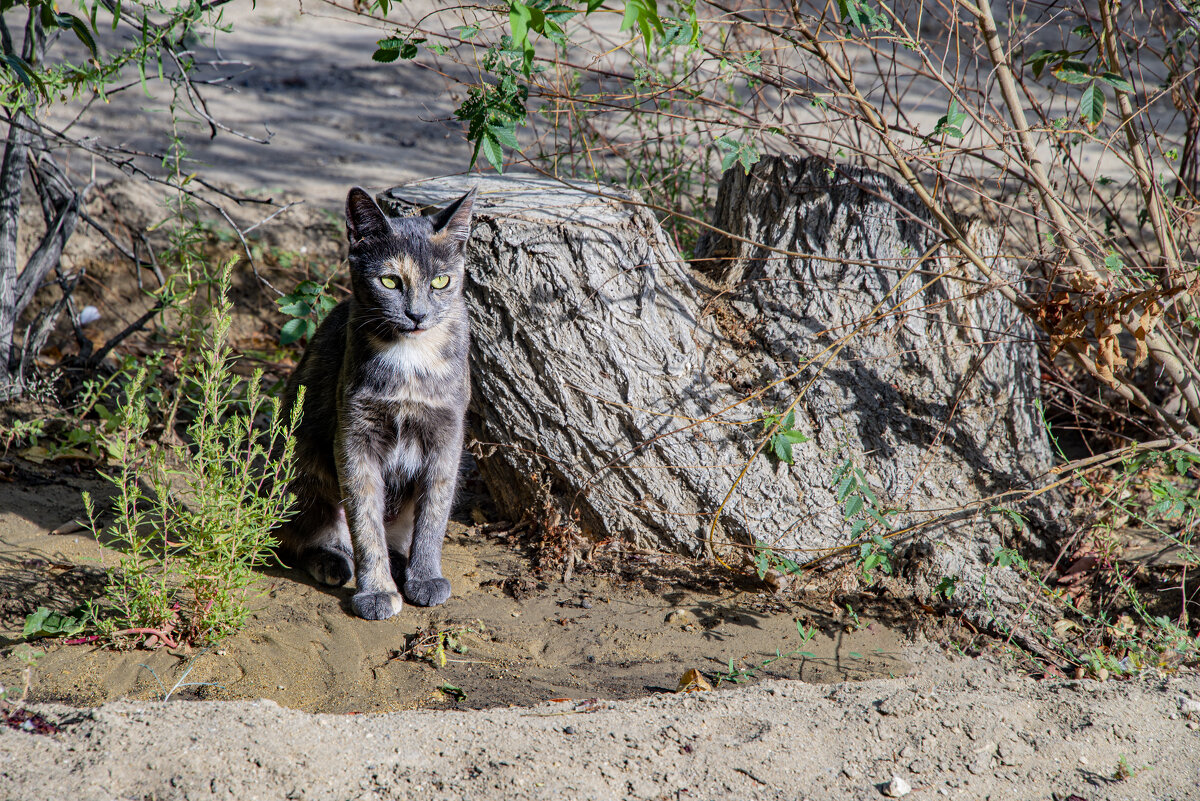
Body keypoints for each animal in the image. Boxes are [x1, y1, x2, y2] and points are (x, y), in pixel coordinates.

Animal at [276, 185, 472, 618]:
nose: (417, 315)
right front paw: (377, 591)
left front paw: (425, 577)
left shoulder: (447, 434)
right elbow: (365, 520)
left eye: (441, 281)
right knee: (299, 536)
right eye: (389, 281)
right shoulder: (353, 435)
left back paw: (400, 562)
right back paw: (333, 560)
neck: (412, 359)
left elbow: (434, 513)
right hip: (301, 461)